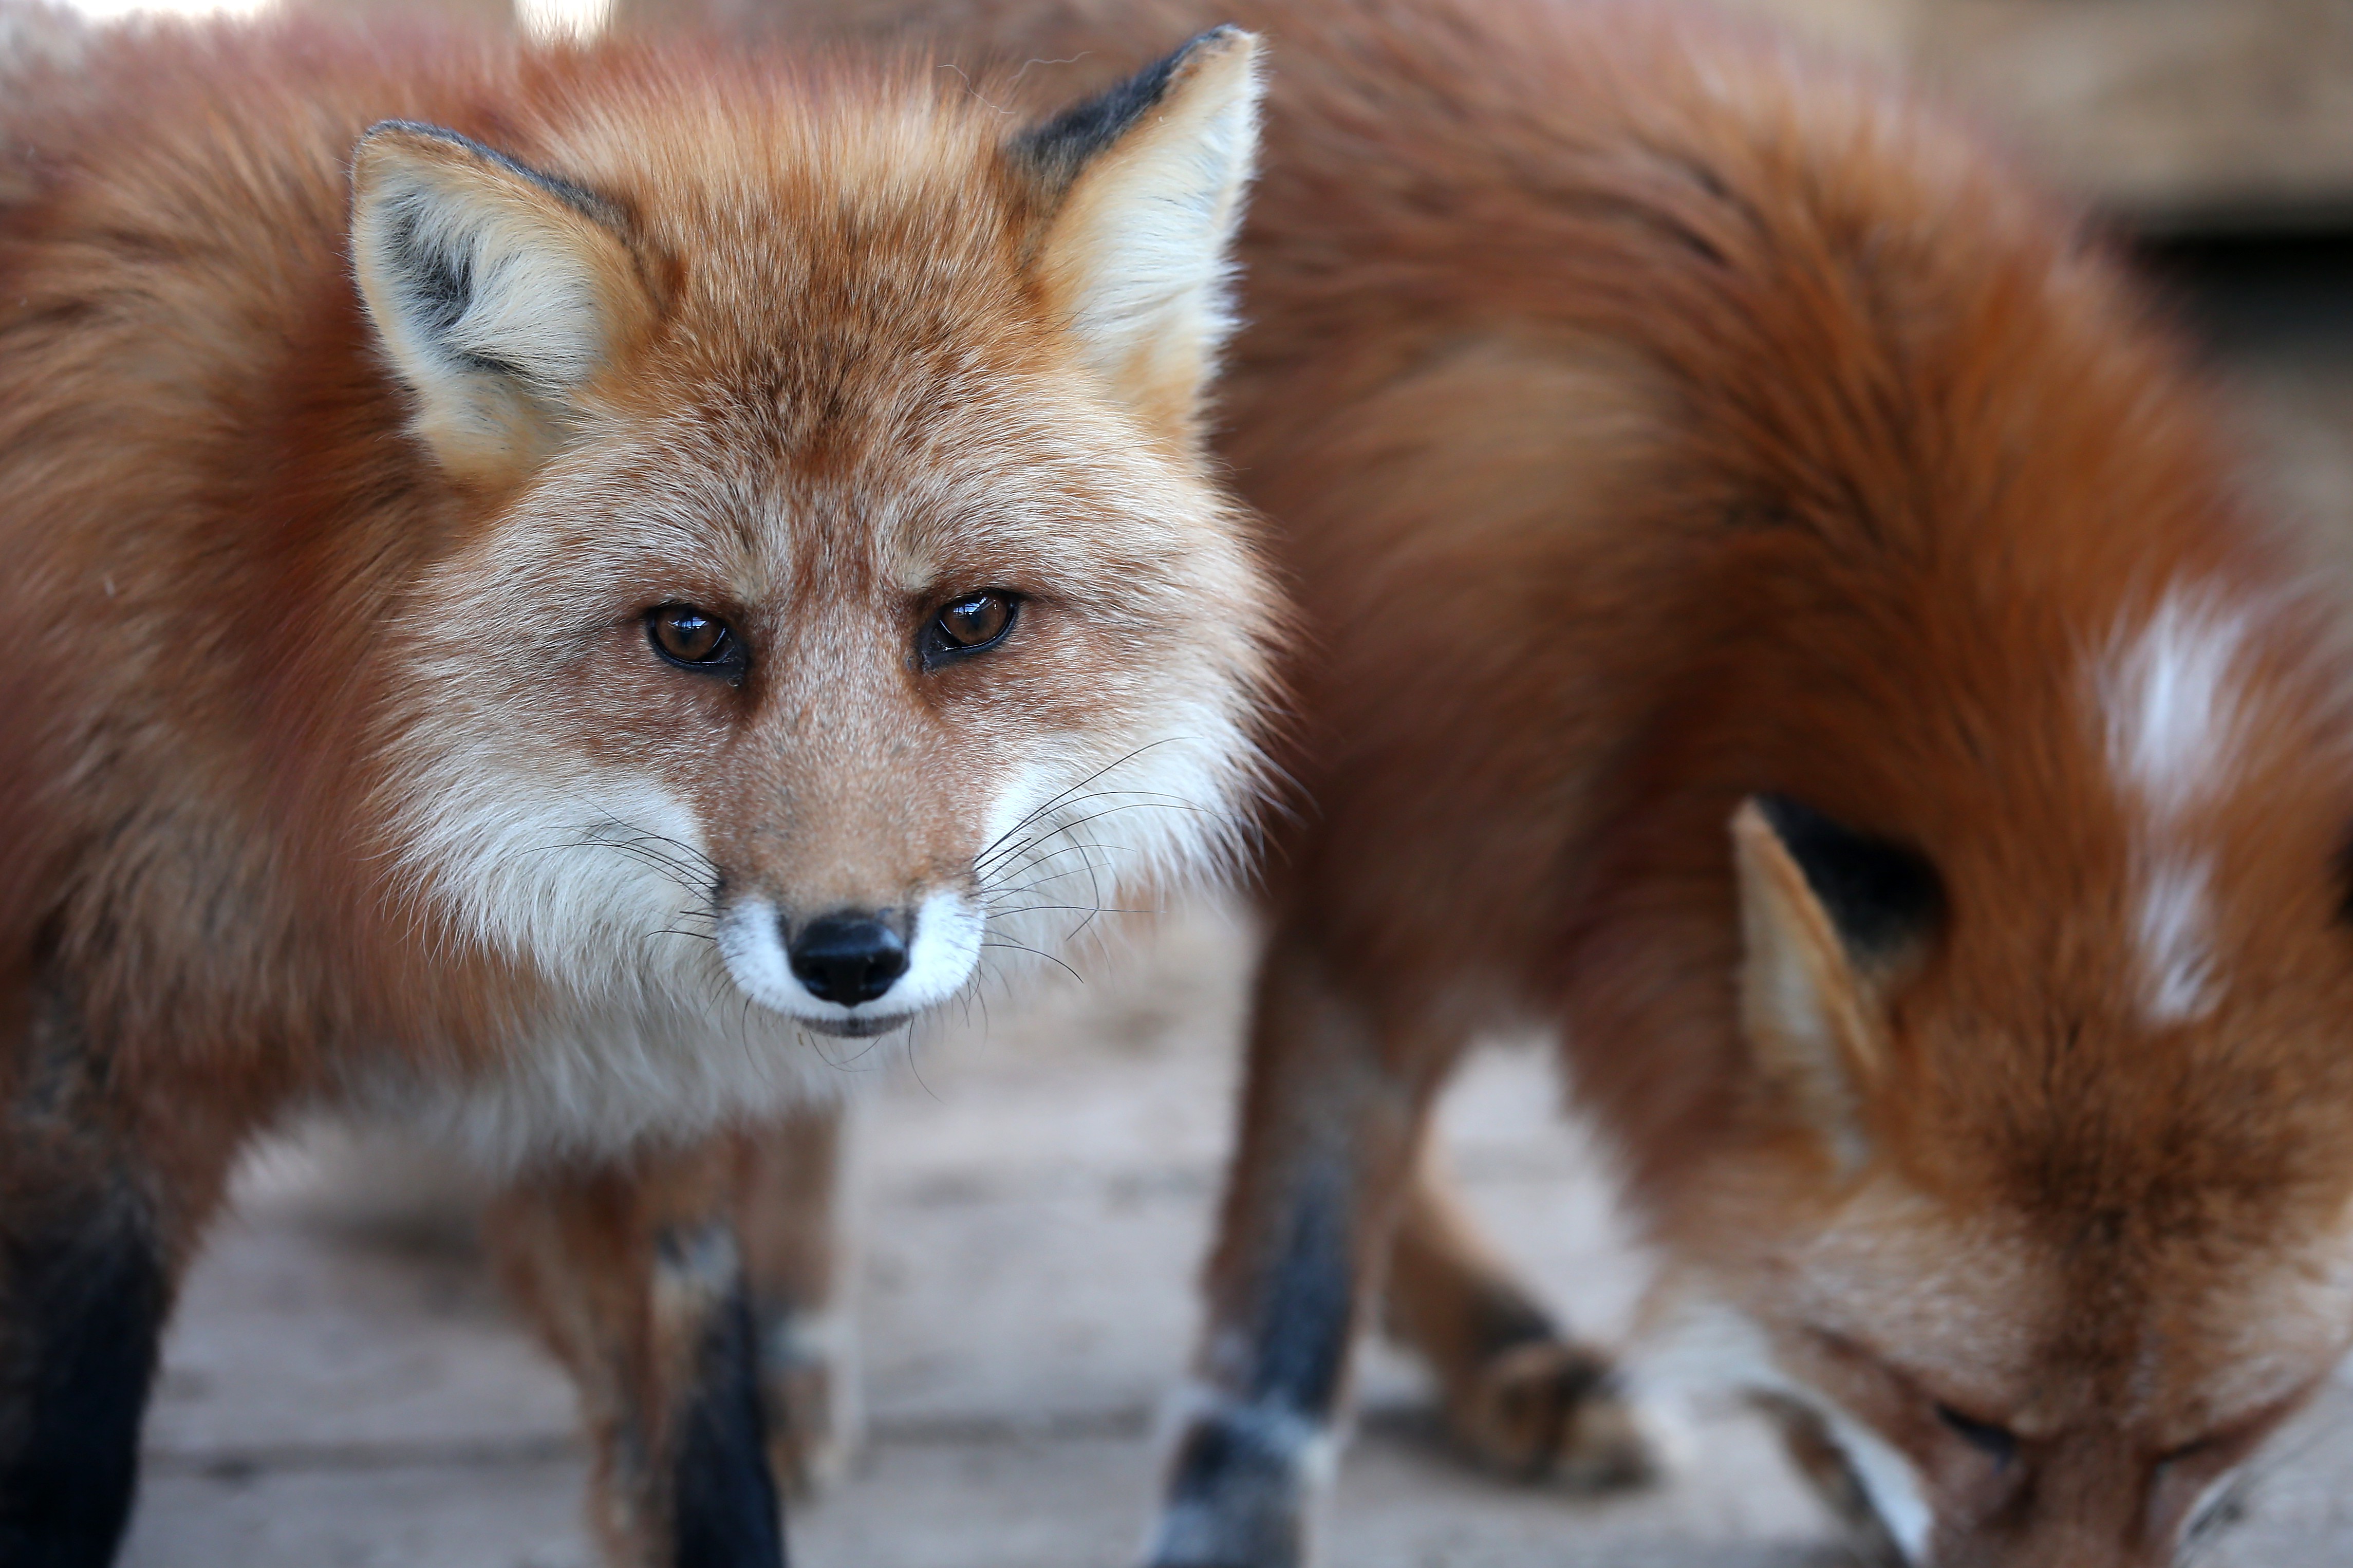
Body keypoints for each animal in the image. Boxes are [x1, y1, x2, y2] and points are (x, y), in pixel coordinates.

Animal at [0, 6, 1289, 1554]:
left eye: (971, 619)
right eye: (691, 634)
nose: (849, 955)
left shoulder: (613, 1122)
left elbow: (706, 1474)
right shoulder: (95, 1069)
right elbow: (61, 1463)